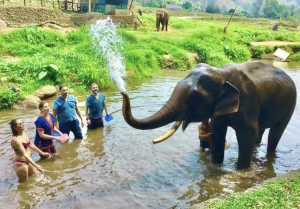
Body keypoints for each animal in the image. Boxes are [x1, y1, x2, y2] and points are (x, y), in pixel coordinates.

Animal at [120, 60, 296, 170]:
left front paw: (240, 170)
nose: (123, 92)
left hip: (291, 104)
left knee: (275, 133)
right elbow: (217, 134)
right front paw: (216, 167)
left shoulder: (247, 102)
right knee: (261, 130)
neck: (221, 72)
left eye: (194, 97)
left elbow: (247, 135)